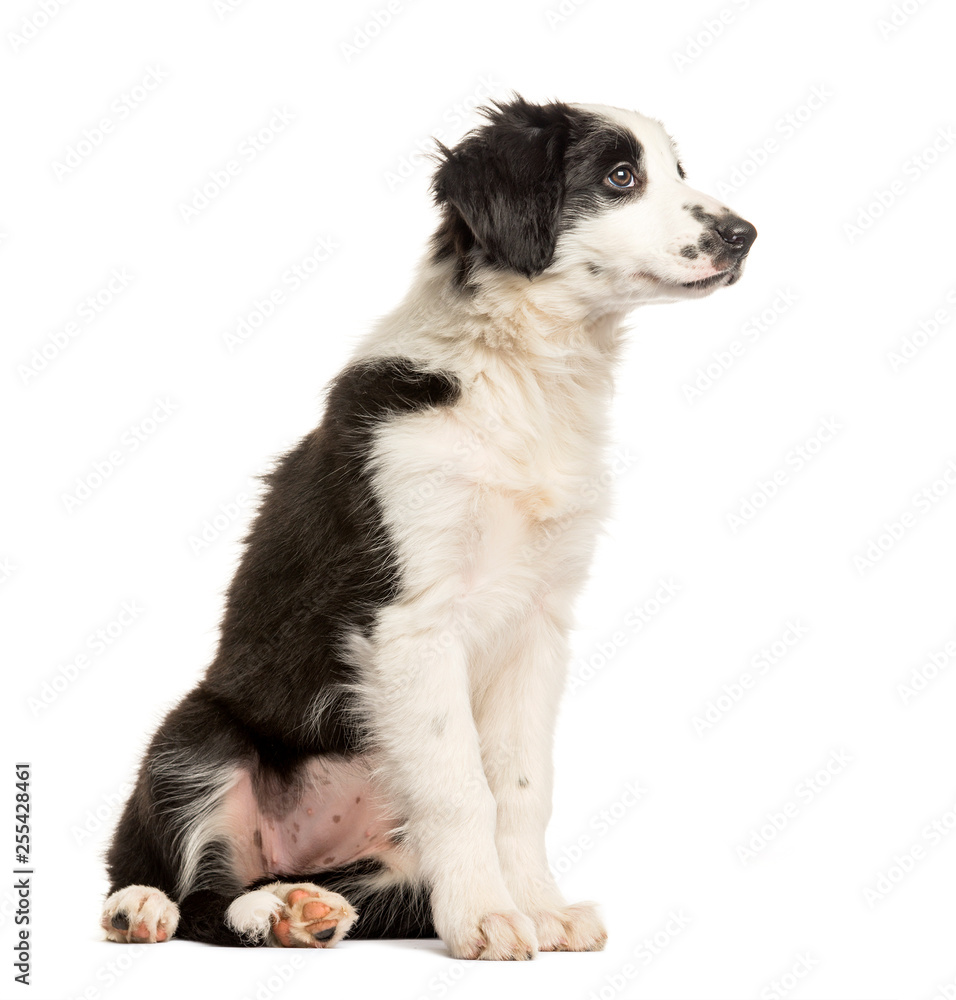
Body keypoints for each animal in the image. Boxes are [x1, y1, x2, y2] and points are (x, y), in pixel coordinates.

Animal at [102, 95, 756, 960]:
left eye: (677, 170)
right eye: (621, 176)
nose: (746, 234)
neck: (522, 378)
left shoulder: (537, 625)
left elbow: (519, 787)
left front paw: (537, 907)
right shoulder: (412, 621)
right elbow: (460, 788)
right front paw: (484, 914)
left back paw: (296, 908)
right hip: (196, 737)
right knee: (190, 888)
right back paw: (166, 909)